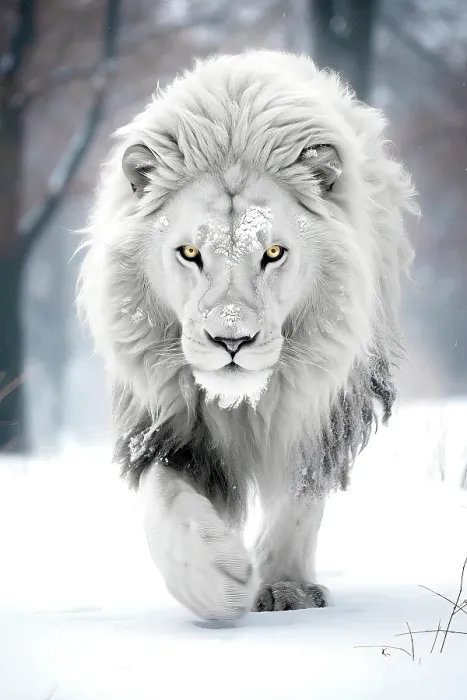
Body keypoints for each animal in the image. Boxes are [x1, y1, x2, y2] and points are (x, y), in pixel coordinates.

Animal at [78, 50, 417, 620]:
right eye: (190, 253)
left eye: (273, 253)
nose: (230, 342)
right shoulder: (164, 422)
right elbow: (164, 503)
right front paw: (218, 580)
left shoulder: (322, 407)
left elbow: (300, 496)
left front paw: (284, 587)